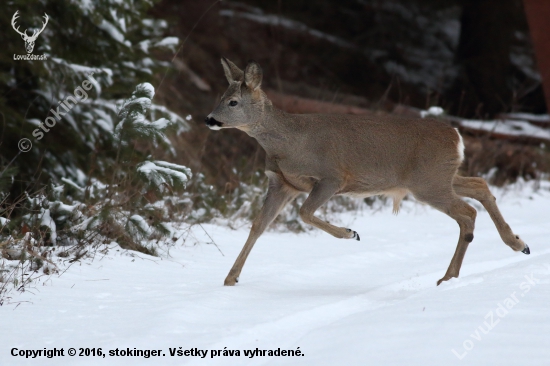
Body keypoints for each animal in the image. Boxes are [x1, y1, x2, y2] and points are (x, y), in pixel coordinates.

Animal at [206, 58, 532, 286]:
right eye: (221, 97)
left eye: (233, 102)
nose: (209, 118)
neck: (289, 142)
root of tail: (457, 136)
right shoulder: (282, 184)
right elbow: (258, 226)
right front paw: (230, 278)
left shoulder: (332, 177)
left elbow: (305, 214)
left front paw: (351, 233)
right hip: (440, 178)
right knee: (480, 186)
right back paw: (518, 244)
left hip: (429, 183)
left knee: (467, 212)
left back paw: (449, 276)